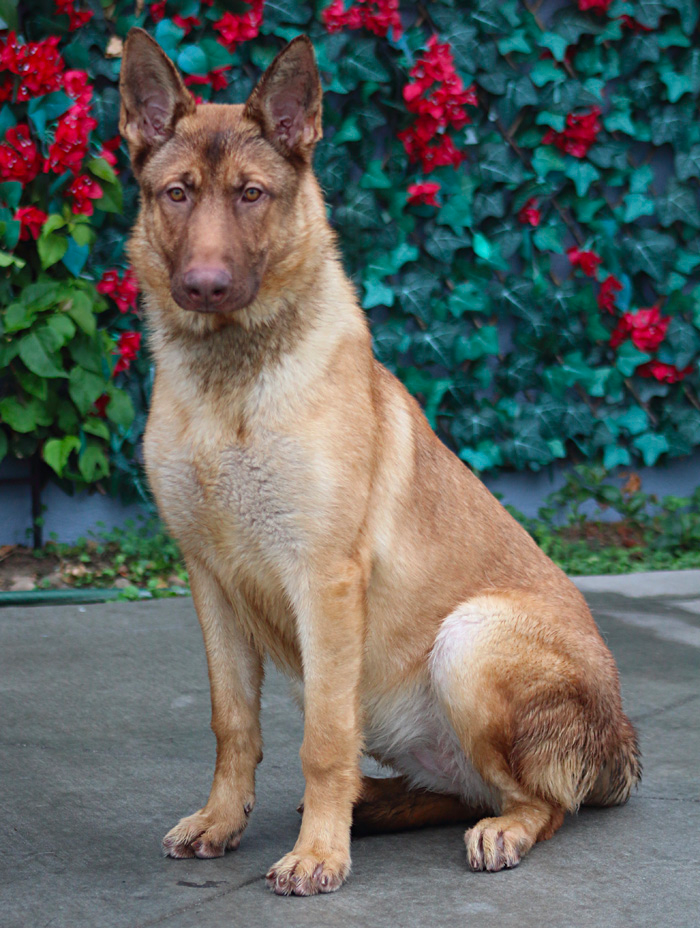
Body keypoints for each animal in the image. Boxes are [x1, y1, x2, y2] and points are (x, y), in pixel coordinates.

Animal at [119, 29, 640, 896]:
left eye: (253, 195)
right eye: (179, 194)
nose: (205, 286)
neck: (234, 385)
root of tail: (625, 741)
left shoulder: (325, 581)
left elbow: (323, 738)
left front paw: (320, 856)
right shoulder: (211, 584)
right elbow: (234, 724)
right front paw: (224, 822)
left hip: (468, 641)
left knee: (538, 801)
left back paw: (490, 828)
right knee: (459, 789)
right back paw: (379, 804)